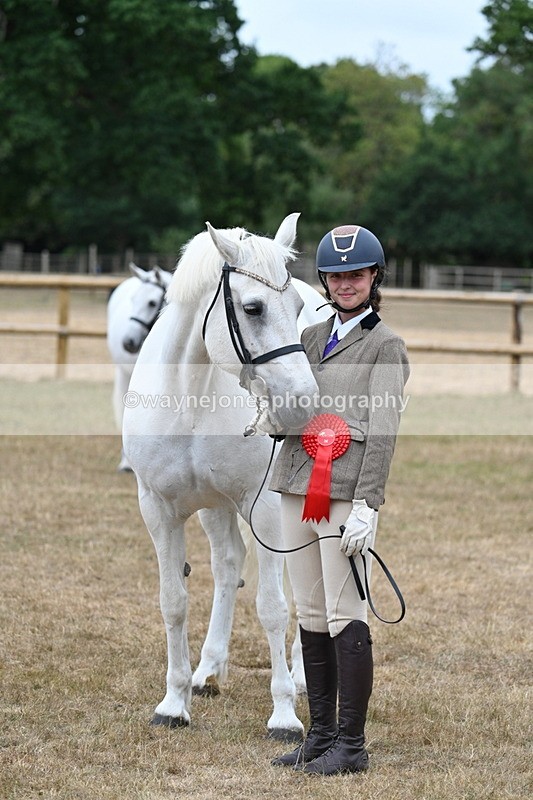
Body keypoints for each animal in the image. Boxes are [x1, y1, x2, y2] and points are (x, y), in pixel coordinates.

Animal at [123, 213, 323, 740]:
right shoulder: (159, 510)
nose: (304, 405)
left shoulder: (266, 506)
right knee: (229, 566)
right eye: (252, 308)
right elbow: (174, 601)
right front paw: (174, 703)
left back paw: (300, 677)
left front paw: (283, 717)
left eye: (296, 307)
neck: (191, 395)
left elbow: (272, 606)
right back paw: (209, 671)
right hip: (215, 508)